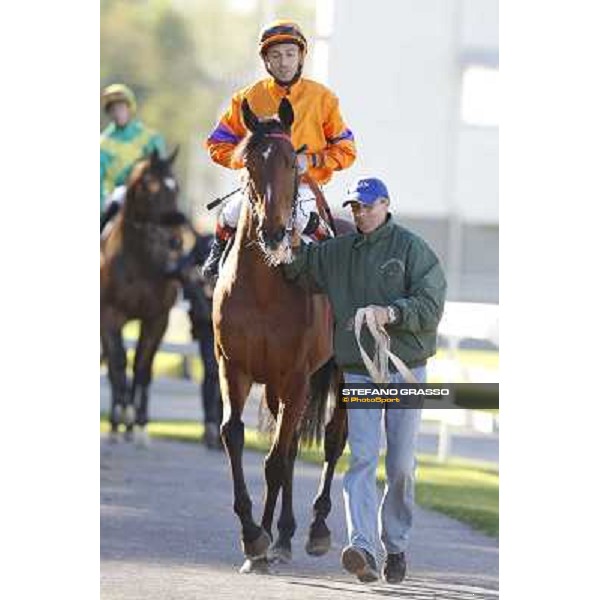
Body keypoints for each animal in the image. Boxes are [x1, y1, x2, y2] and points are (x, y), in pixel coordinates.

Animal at [101, 148, 195, 442]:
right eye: (150, 187)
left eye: (176, 187)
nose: (175, 241)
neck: (140, 260)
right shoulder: (110, 316)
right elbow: (120, 364)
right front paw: (123, 416)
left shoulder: (157, 319)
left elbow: (142, 367)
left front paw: (140, 424)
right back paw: (115, 422)